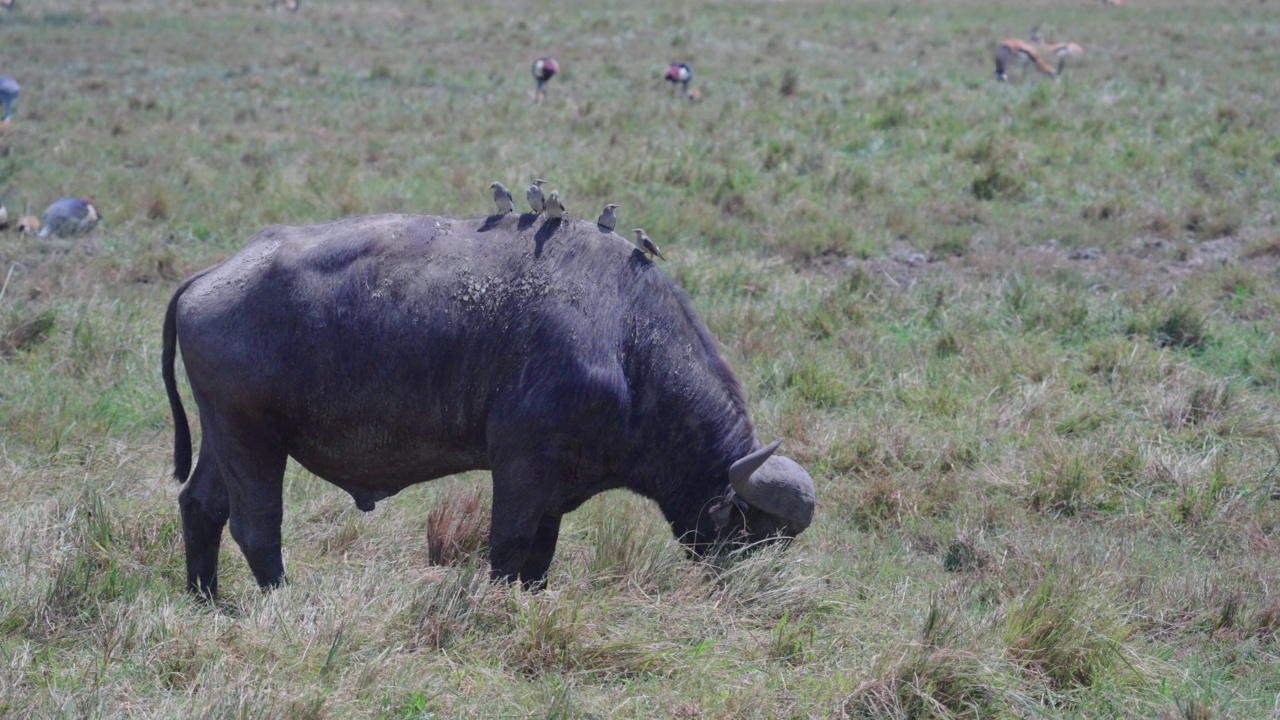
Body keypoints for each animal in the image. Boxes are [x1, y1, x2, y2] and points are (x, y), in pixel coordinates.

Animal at [162, 211, 819, 594]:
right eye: (753, 534)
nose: (758, 588)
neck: (624, 337)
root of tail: (209, 278)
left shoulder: (556, 485)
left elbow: (538, 558)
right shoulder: (523, 465)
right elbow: (507, 546)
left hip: (224, 436)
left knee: (201, 505)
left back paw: (207, 600)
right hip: (253, 437)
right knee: (256, 525)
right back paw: (282, 598)